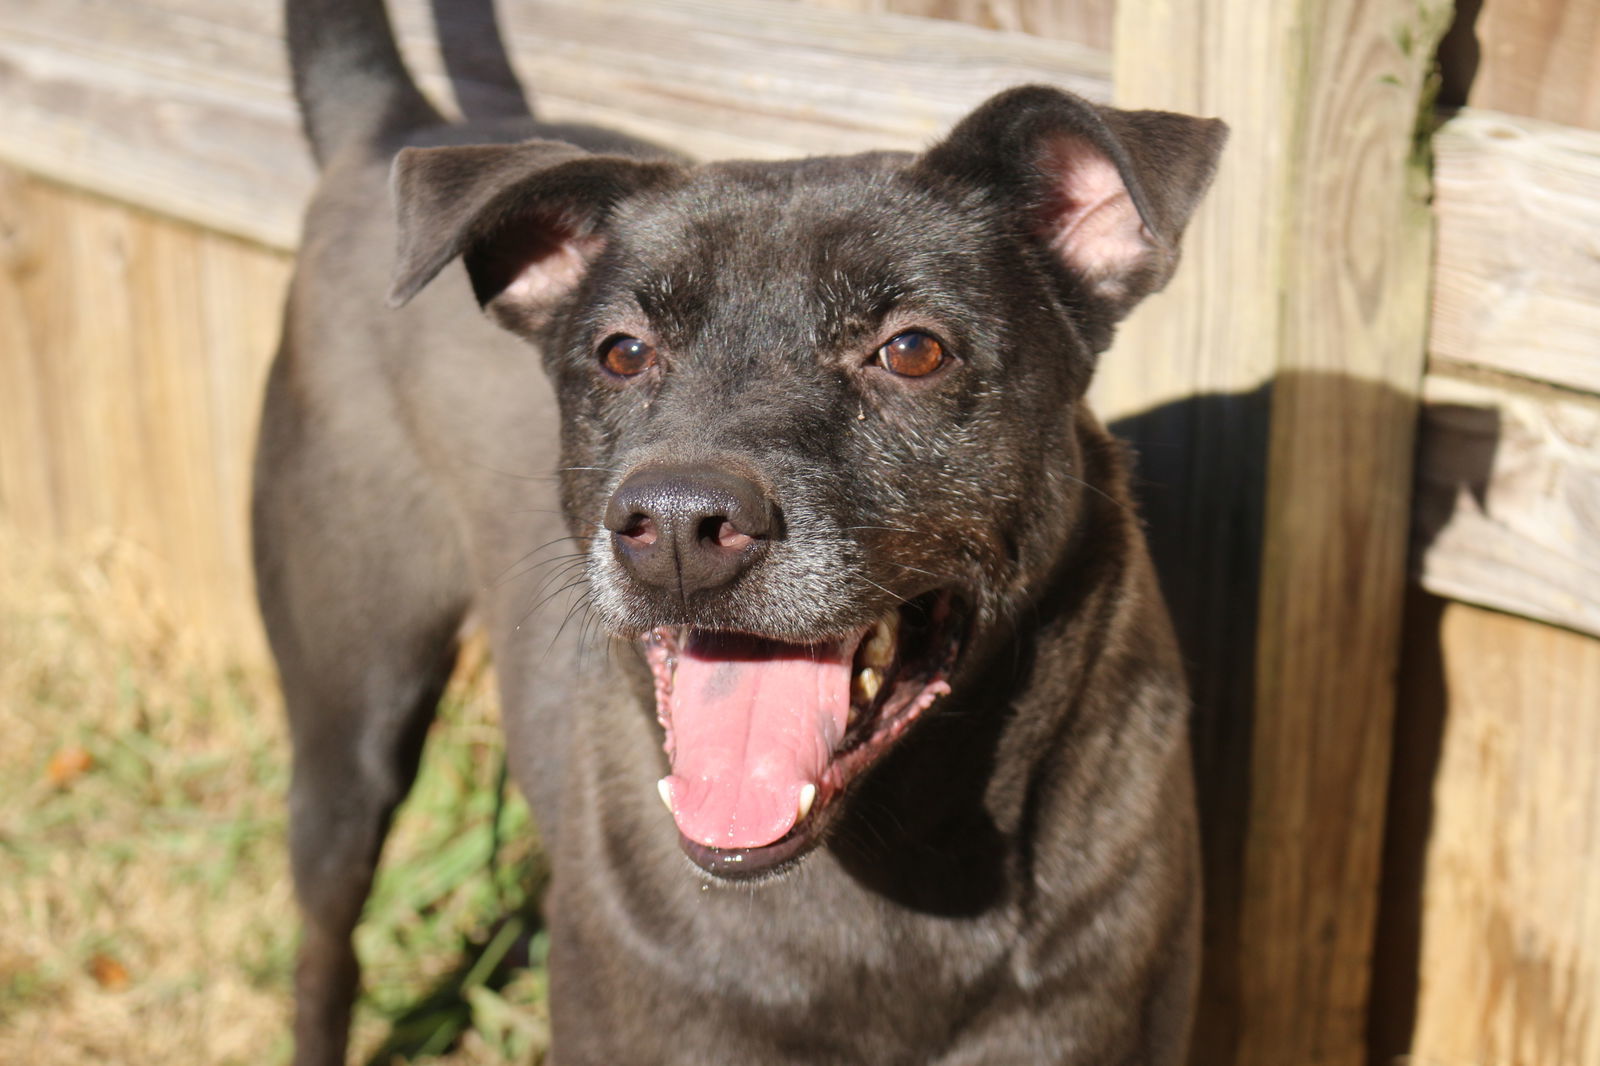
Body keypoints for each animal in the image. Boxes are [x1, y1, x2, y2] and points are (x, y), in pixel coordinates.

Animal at [252, 0, 1222, 1056]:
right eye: (623, 352)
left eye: (912, 350)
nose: (678, 526)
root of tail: (396, 124)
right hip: (351, 725)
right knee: (325, 955)